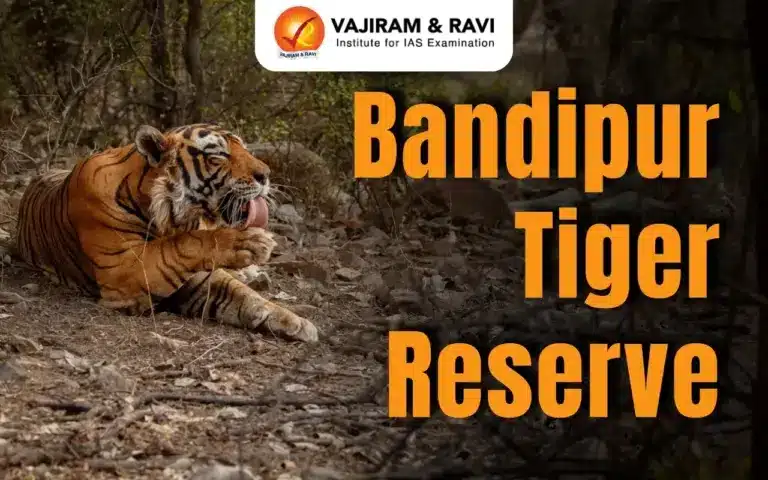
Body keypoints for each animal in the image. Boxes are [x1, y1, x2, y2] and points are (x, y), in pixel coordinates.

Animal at [15, 123, 318, 343]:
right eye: (218, 156)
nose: (266, 175)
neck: (172, 218)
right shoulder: (126, 269)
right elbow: (182, 245)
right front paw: (251, 241)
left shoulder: (200, 278)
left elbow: (245, 296)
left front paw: (297, 323)